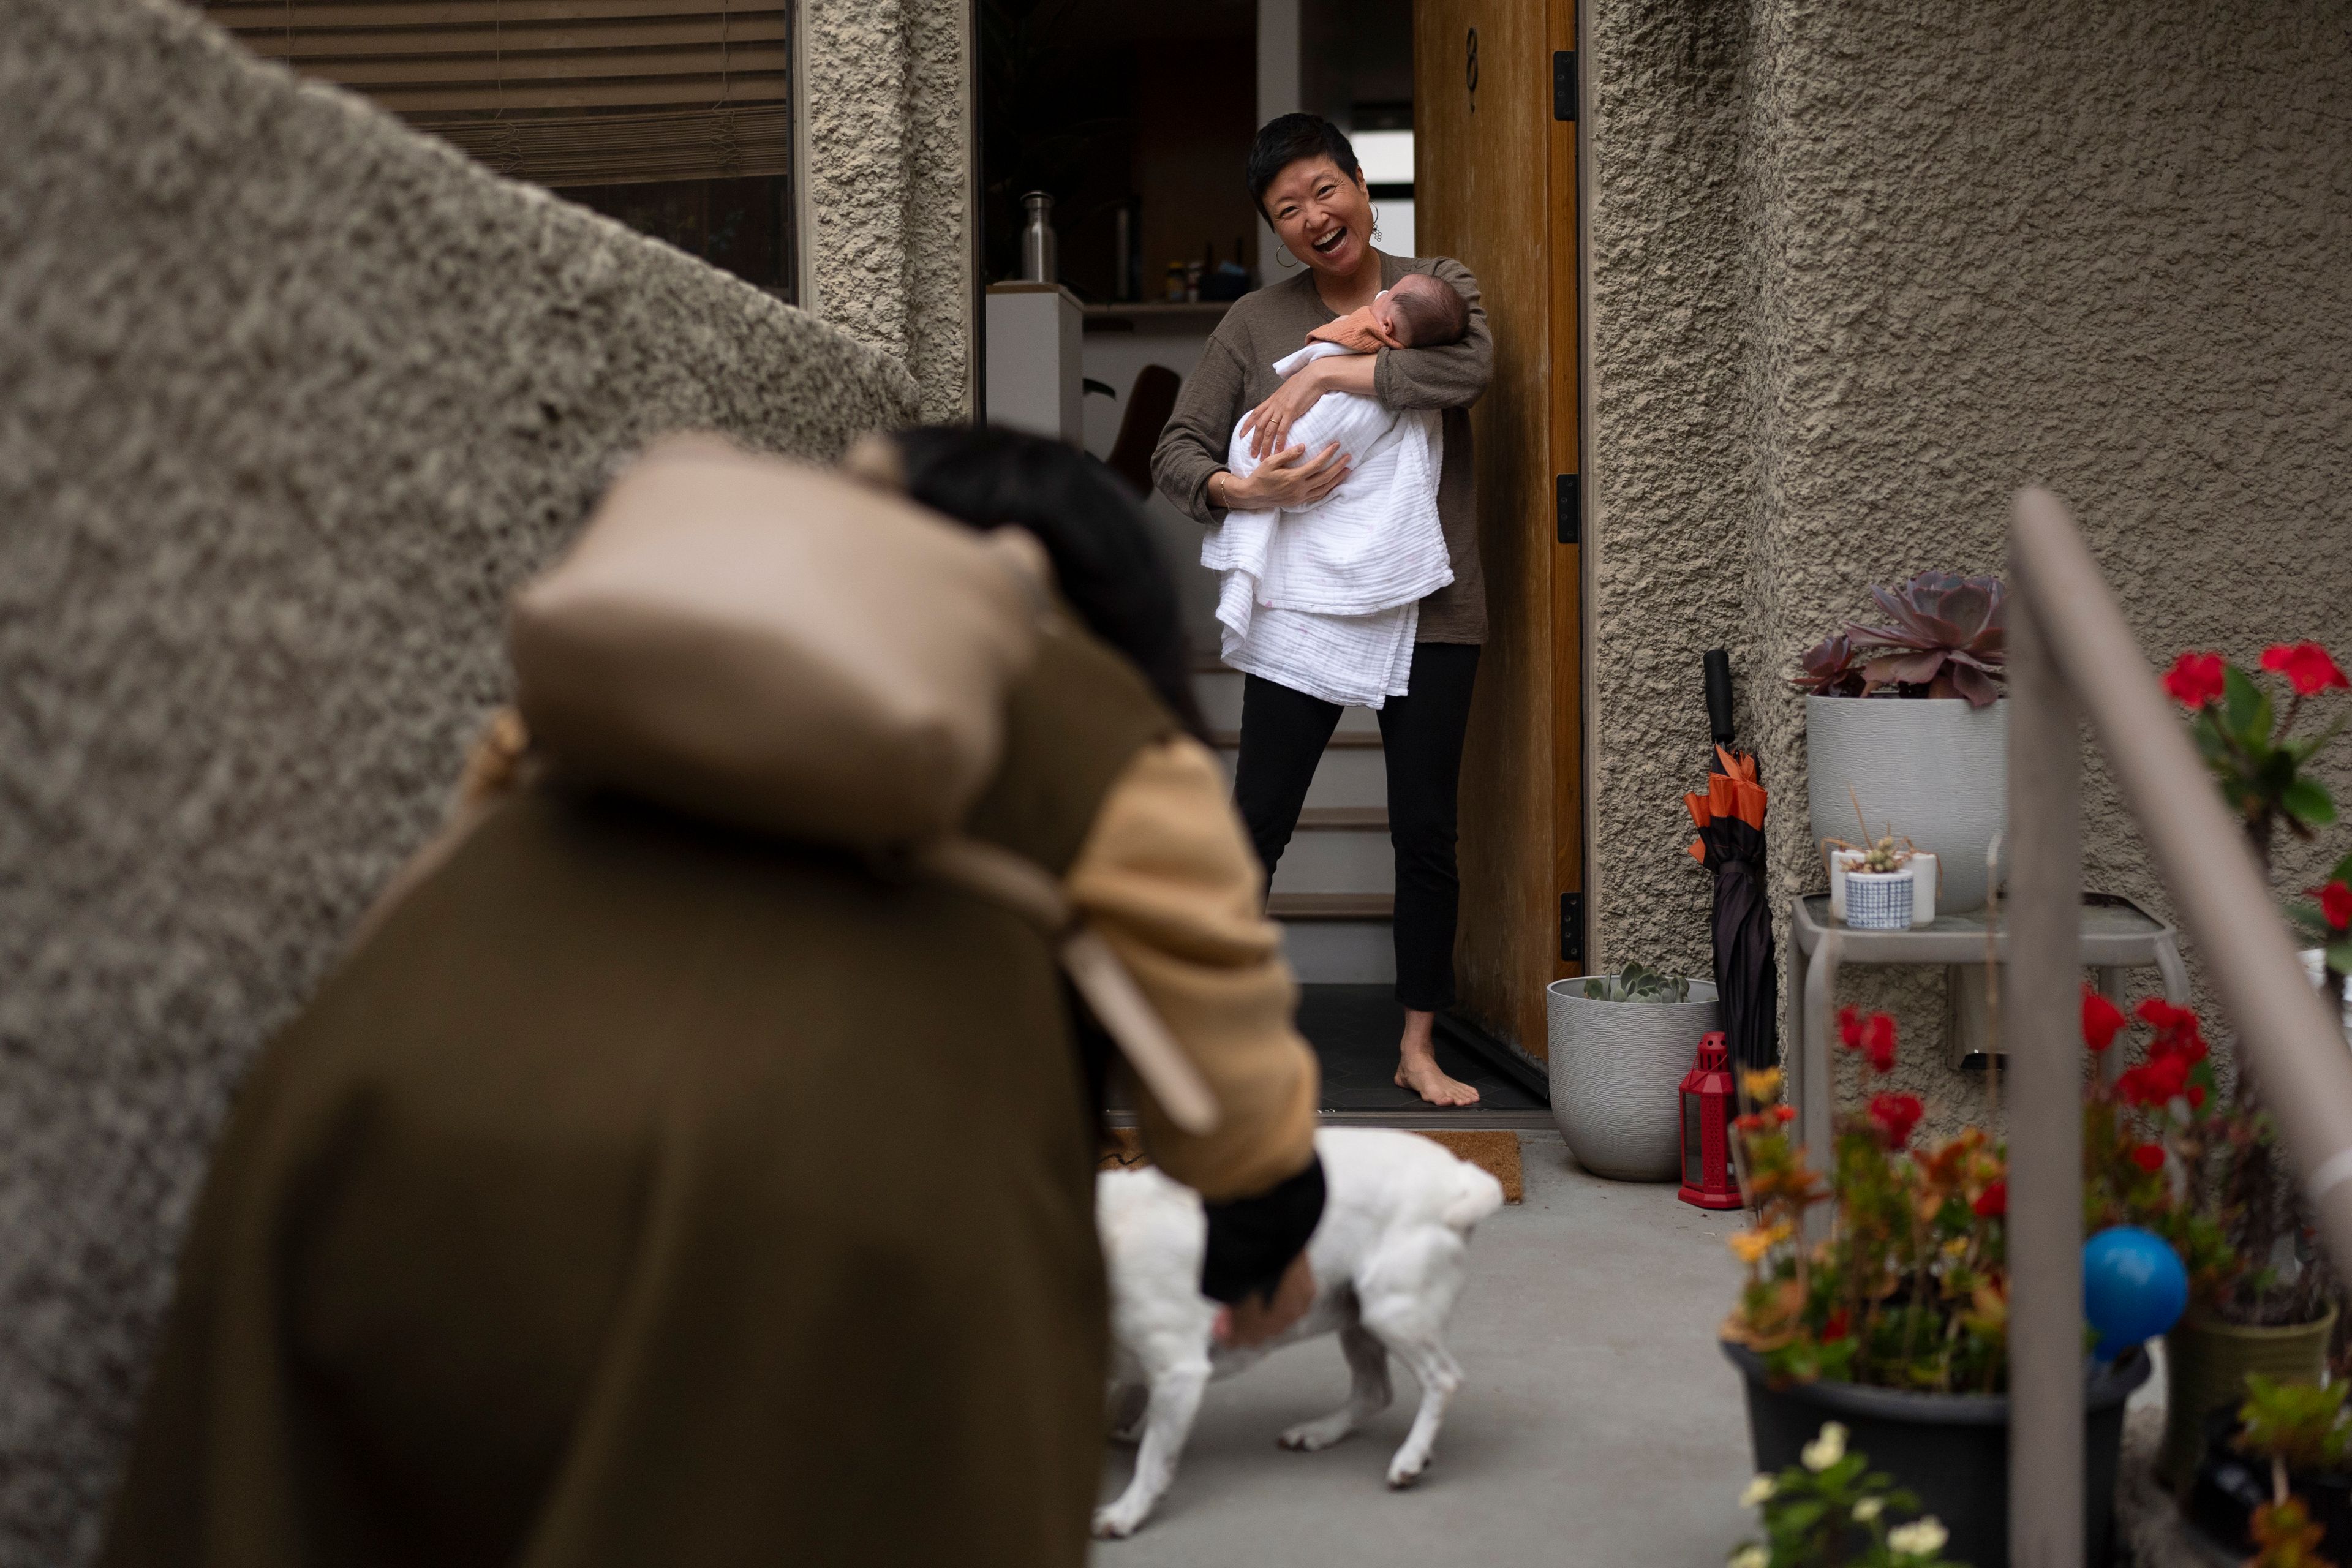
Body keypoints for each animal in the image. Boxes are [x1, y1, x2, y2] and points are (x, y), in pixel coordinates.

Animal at [1087, 1128, 1496, 1542]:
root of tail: (1458, 1176)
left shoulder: (1179, 1373)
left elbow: (1152, 1458)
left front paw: (1126, 1512)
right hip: (1357, 1318)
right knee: (1374, 1392)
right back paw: (1322, 1432)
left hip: (1392, 1312)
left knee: (1442, 1379)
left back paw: (1410, 1457)